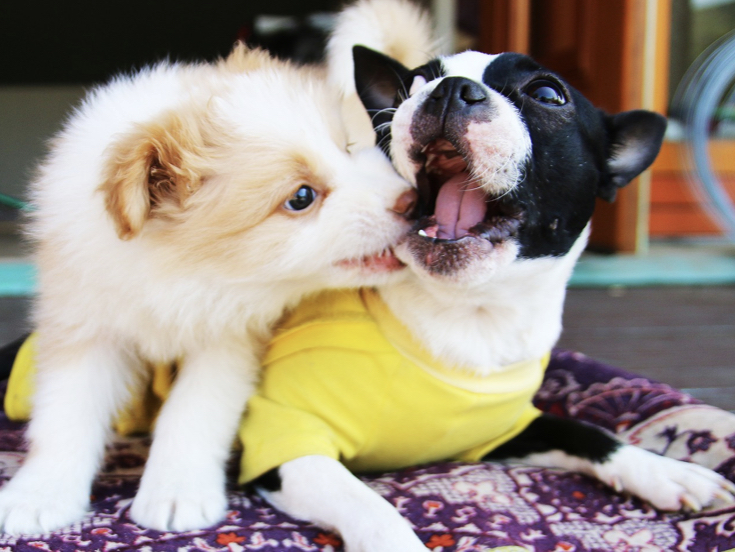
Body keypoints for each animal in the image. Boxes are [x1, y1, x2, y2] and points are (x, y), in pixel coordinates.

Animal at [0, 44, 414, 536]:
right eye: (301, 197)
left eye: (349, 147)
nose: (413, 202)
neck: (176, 276)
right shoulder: (84, 321)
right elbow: (65, 410)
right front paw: (38, 496)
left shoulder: (229, 336)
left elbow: (194, 411)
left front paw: (178, 494)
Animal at [252, 2, 735, 548]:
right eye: (415, 83)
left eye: (547, 94)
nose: (450, 89)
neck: (472, 309)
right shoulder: (285, 440)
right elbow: (367, 502)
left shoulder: (505, 432)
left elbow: (585, 431)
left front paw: (664, 470)